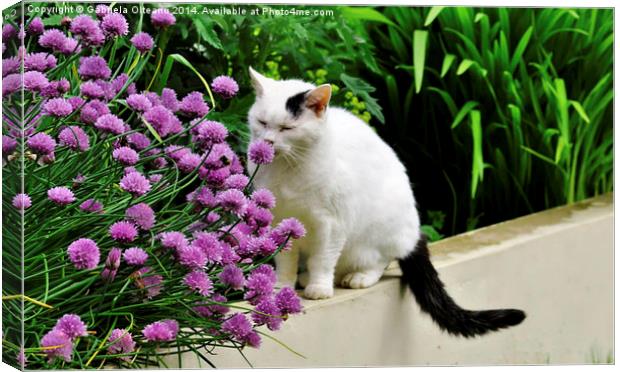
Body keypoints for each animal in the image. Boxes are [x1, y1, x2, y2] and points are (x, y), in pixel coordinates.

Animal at [245, 67, 524, 338]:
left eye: (287, 128)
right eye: (262, 123)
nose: (267, 142)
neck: (288, 169)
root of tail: (415, 235)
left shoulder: (332, 223)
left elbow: (323, 258)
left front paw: (319, 287)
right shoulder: (282, 220)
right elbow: (285, 258)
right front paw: (281, 285)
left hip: (377, 232)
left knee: (379, 260)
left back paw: (357, 277)